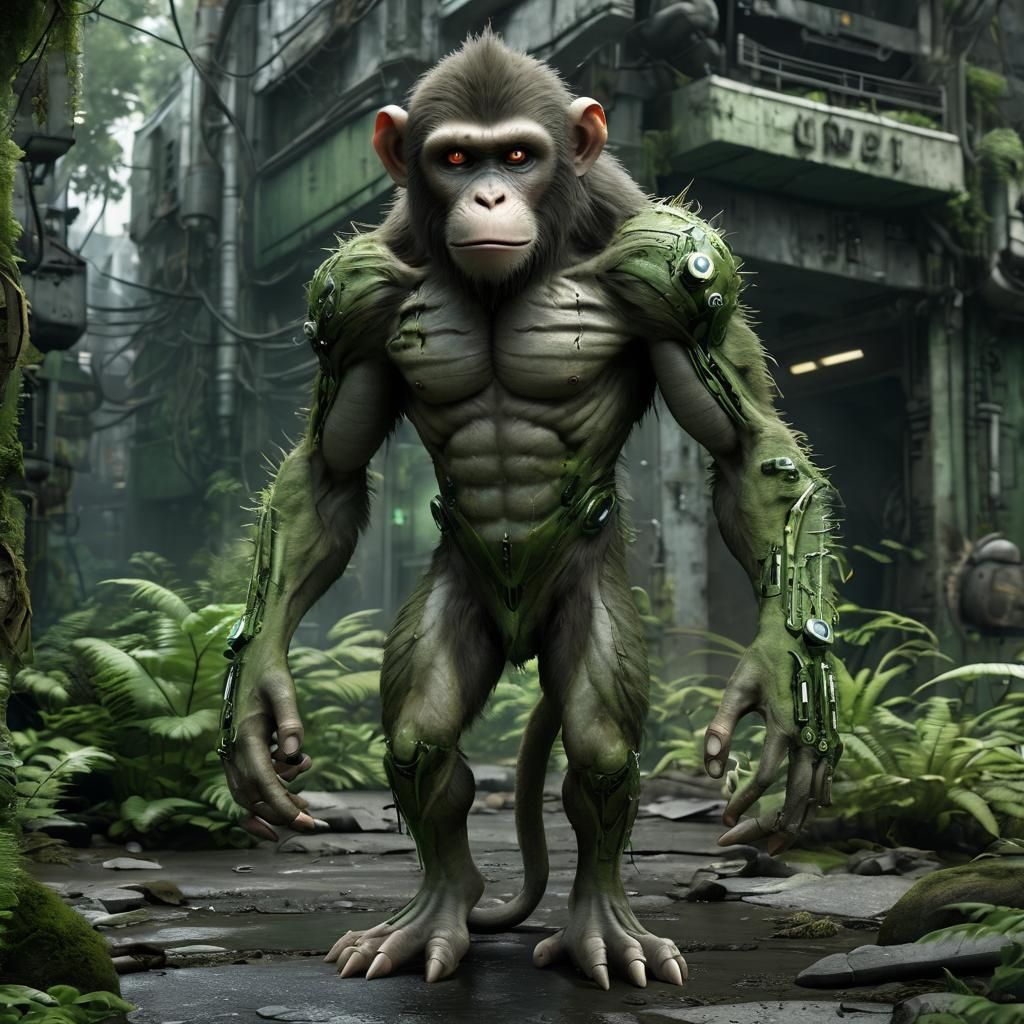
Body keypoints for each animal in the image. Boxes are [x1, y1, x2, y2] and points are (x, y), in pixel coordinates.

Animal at [218, 27, 844, 990]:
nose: (488, 195)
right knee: (423, 742)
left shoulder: (677, 266)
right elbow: (326, 468)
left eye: (518, 155)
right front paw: (257, 686)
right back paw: (439, 912)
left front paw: (783, 675)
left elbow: (748, 449)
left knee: (596, 749)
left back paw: (602, 929)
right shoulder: (350, 289)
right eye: (454, 159)